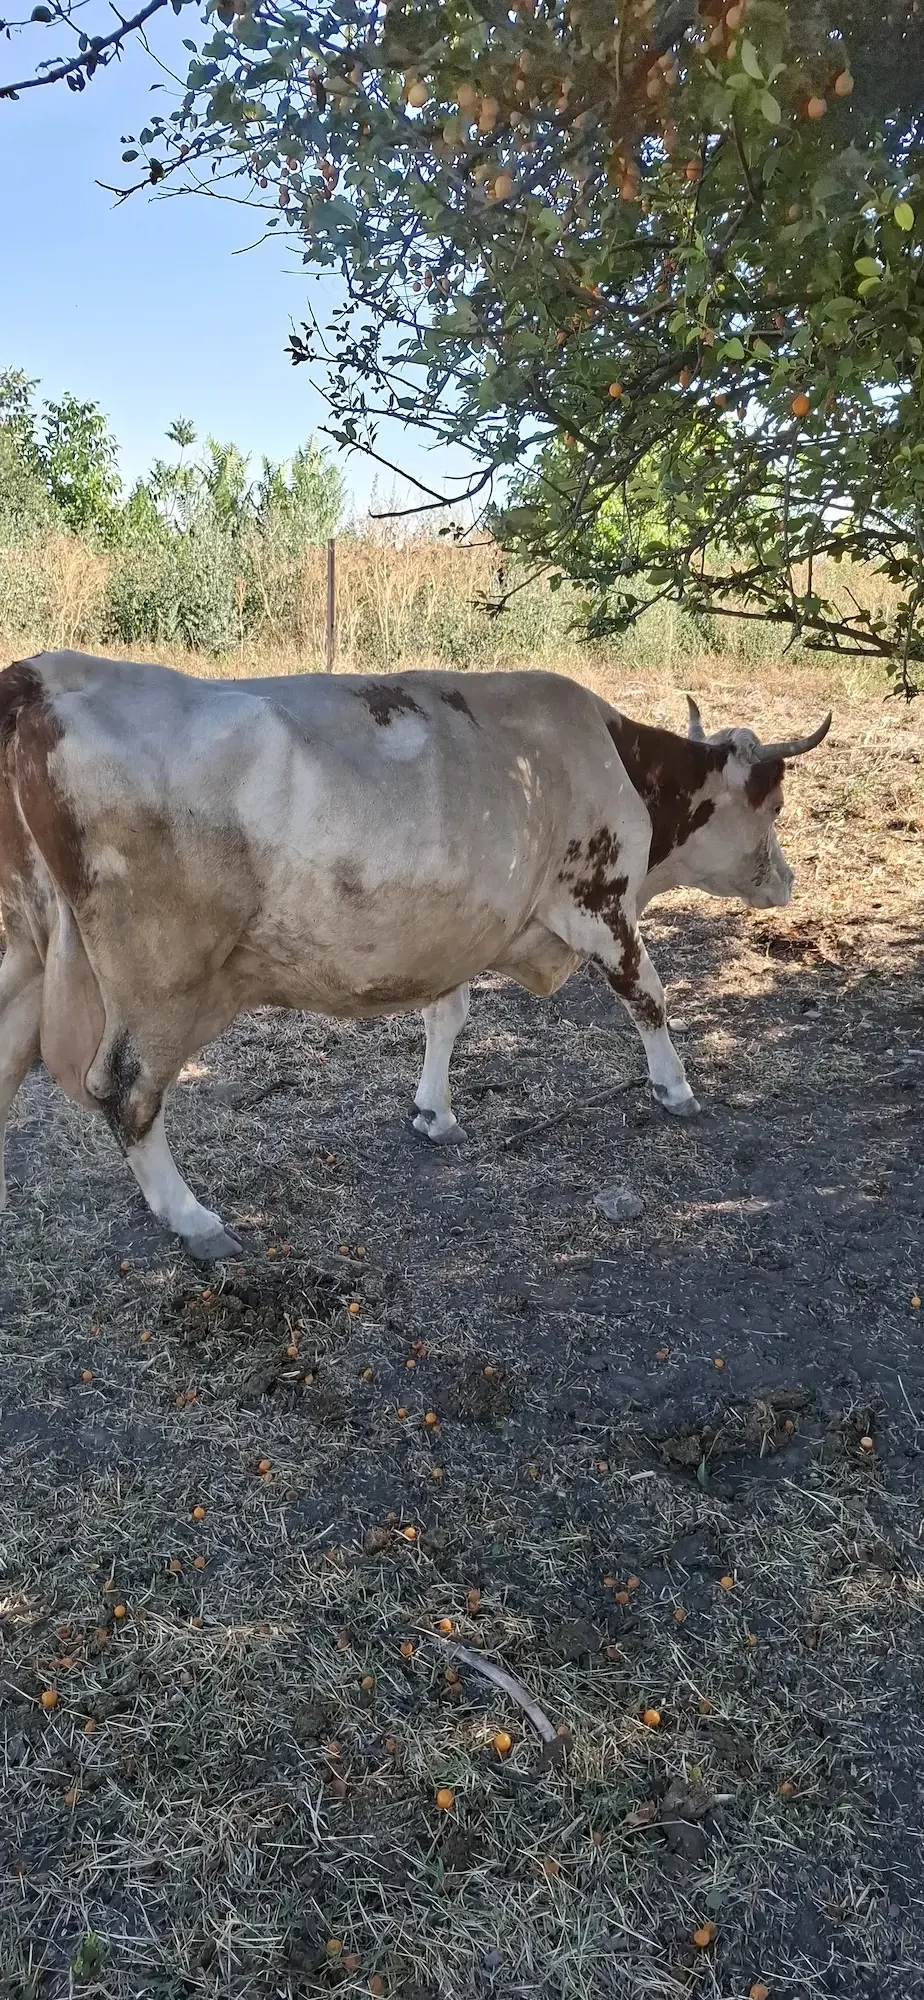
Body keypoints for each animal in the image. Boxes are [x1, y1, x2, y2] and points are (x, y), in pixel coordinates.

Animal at [0, 650, 830, 1261]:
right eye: (775, 804)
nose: (788, 881)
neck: (610, 756)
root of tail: (41, 676)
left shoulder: (450, 926)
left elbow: (446, 1015)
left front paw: (434, 1111)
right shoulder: (597, 900)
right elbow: (648, 993)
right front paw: (675, 1088)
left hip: (25, 952)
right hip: (161, 973)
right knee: (126, 1088)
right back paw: (191, 1217)